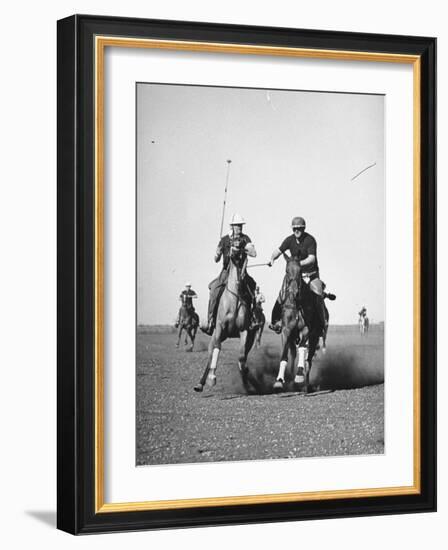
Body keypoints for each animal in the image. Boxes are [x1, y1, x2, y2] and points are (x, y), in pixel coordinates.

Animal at [194, 248, 258, 394]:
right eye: (231, 247)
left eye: (242, 249)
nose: (235, 253)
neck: (233, 299)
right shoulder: (220, 328)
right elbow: (217, 349)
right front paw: (212, 378)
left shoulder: (244, 330)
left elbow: (241, 357)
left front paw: (246, 377)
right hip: (216, 335)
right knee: (210, 355)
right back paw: (200, 383)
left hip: (249, 339)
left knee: (243, 355)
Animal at [272, 258, 322, 392]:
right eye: (286, 271)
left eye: (300, 271)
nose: (294, 292)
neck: (296, 304)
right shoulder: (286, 330)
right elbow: (285, 355)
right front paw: (279, 380)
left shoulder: (306, 329)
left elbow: (303, 350)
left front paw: (299, 376)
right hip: (292, 338)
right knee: (293, 354)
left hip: (314, 337)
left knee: (308, 361)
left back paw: (305, 386)